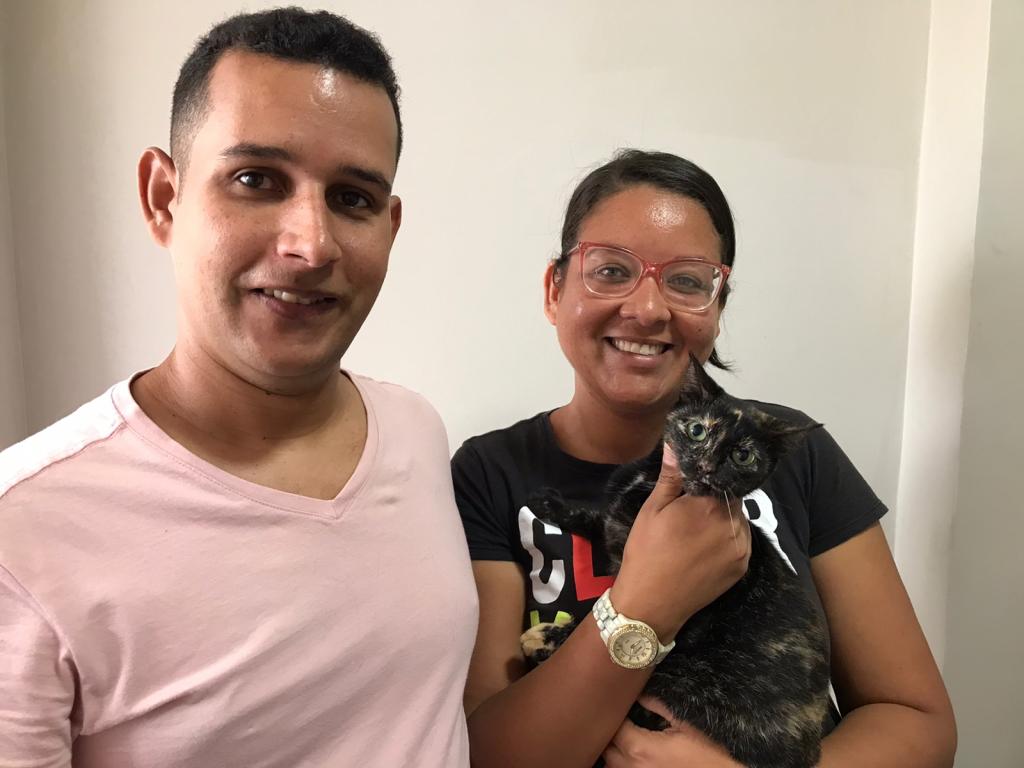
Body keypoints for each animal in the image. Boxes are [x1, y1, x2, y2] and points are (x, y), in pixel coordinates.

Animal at [521, 356, 830, 768]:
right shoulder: (620, 528)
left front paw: (550, 635)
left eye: (742, 455)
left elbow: (593, 614)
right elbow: (597, 517)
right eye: (697, 430)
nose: (707, 466)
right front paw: (549, 503)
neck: (647, 482)